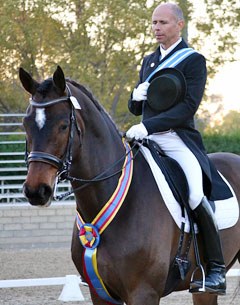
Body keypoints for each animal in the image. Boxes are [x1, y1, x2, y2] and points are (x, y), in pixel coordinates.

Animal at [19, 66, 240, 304]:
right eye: (26, 125)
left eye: (63, 125)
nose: (36, 190)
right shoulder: (100, 293)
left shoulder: (144, 292)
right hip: (202, 290)